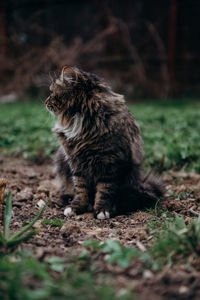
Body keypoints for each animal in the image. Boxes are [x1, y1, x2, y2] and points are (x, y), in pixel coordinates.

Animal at [45, 67, 164, 219]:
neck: (82, 122)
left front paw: (102, 210)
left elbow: (104, 190)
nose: (45, 102)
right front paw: (76, 207)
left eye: (53, 93)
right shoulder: (76, 163)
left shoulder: (110, 163)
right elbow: (80, 188)